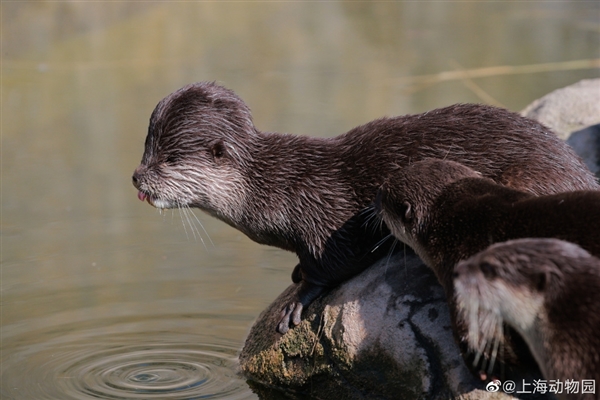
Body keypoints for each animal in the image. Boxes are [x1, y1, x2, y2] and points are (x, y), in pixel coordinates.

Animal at [132, 81, 600, 334]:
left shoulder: (324, 214)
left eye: (168, 159)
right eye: (145, 151)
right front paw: (295, 274)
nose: (137, 177)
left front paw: (298, 300)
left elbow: (334, 263)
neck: (273, 188)